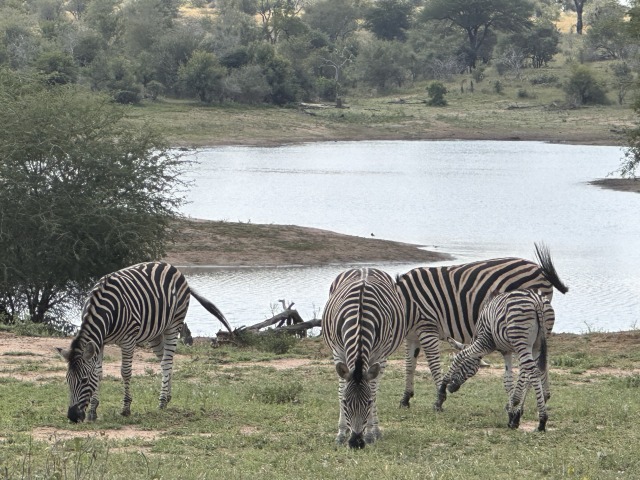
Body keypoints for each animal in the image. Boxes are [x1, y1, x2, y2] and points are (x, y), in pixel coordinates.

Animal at [54, 260, 230, 422]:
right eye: (67, 380)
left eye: (84, 380)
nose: (72, 416)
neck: (106, 311)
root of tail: (172, 266)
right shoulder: (100, 342)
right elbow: (98, 372)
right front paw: (93, 410)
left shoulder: (128, 340)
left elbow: (125, 372)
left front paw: (126, 408)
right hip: (155, 333)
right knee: (165, 362)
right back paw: (167, 398)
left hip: (174, 324)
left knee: (167, 361)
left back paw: (161, 402)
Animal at [322, 268, 408, 448]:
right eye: (345, 403)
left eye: (367, 403)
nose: (356, 443)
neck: (359, 320)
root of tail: (364, 268)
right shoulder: (338, 351)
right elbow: (340, 390)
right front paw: (341, 433)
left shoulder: (378, 354)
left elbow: (373, 392)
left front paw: (370, 434)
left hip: (383, 358)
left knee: (376, 387)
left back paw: (375, 430)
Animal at [396, 242, 568, 410]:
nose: (452, 388)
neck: (406, 303)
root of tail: (540, 270)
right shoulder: (412, 335)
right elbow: (409, 365)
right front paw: (405, 398)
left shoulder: (427, 328)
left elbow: (433, 365)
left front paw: (439, 398)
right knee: (541, 360)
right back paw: (543, 397)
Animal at [440, 288, 556, 432]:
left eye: (463, 365)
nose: (451, 388)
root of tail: (537, 300)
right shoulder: (506, 351)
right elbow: (508, 381)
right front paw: (512, 414)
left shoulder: (484, 342)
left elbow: (460, 355)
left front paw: (441, 392)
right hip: (537, 344)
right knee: (535, 372)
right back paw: (523, 414)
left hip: (521, 340)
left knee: (533, 372)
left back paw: (541, 421)